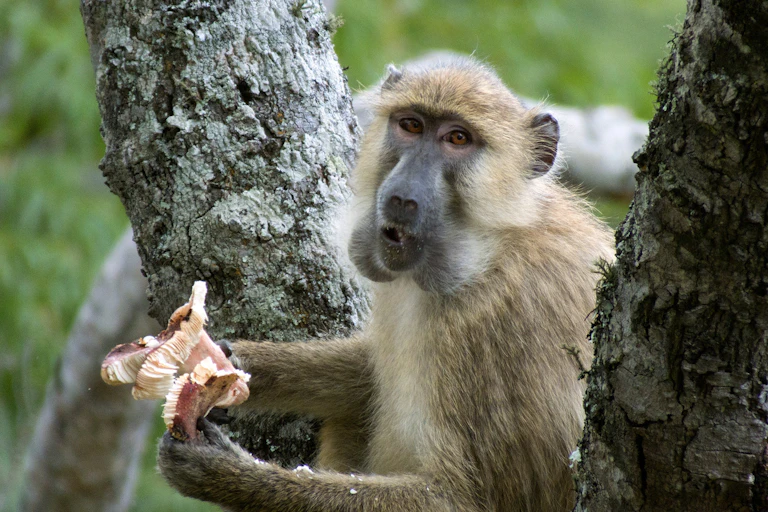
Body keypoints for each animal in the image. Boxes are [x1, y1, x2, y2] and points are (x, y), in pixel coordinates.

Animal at [158, 57, 615, 512]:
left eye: (458, 138)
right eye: (411, 125)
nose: (402, 198)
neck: (485, 252)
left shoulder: (499, 327)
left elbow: (464, 498)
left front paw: (222, 472)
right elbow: (369, 375)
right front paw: (225, 363)